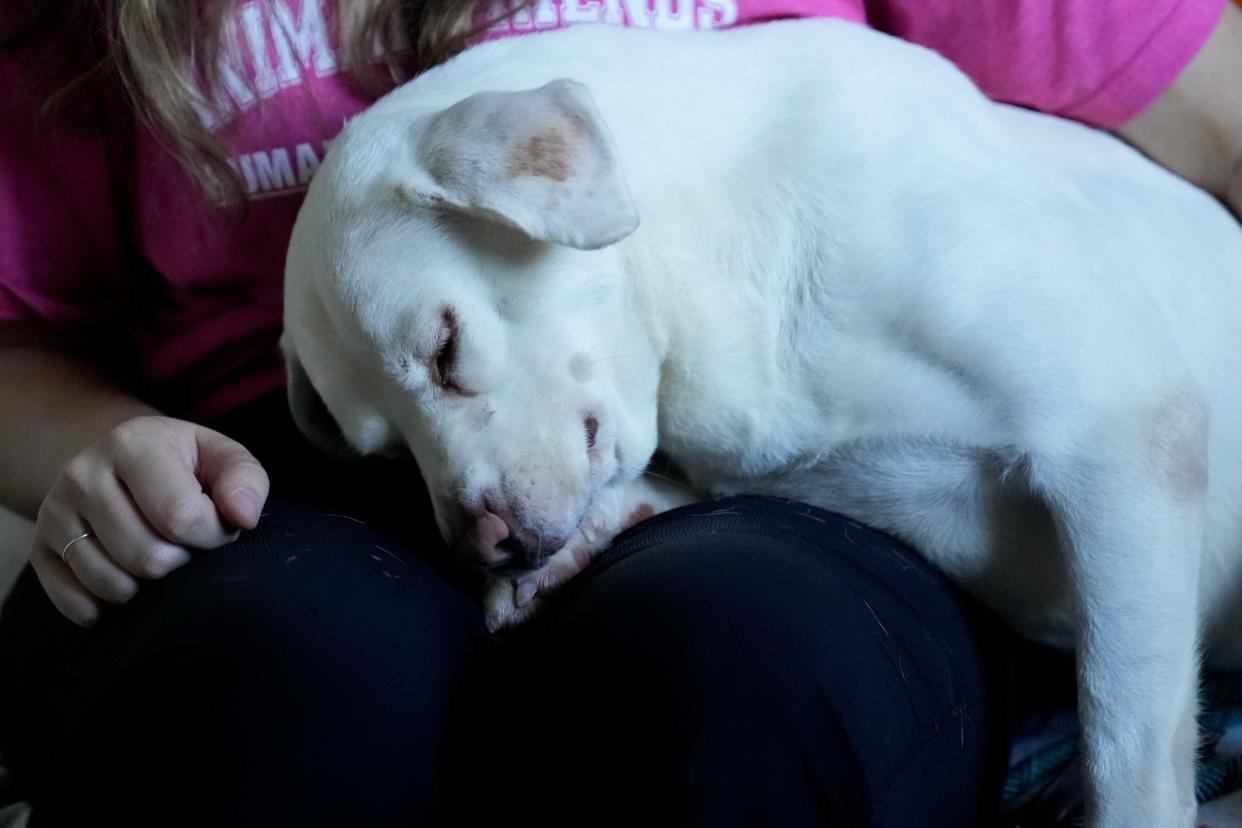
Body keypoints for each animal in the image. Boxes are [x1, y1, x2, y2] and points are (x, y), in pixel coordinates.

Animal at [281, 19, 1242, 828]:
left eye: (445, 349)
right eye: (382, 452)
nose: (481, 546)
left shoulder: (1123, 440)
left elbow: (1126, 749)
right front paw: (573, 548)